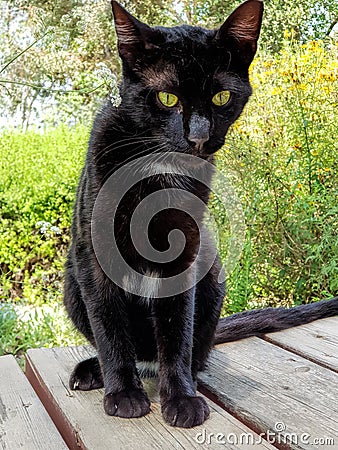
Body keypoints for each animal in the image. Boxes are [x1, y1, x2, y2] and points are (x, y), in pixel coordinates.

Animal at [64, 0, 338, 428]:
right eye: (167, 98)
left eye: (223, 97)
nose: (198, 137)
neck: (158, 167)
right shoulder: (93, 255)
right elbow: (110, 329)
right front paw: (123, 393)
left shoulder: (185, 248)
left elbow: (177, 329)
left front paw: (181, 397)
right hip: (71, 282)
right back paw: (94, 370)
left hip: (211, 271)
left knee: (191, 350)